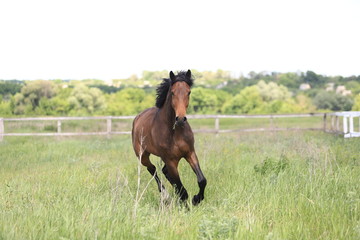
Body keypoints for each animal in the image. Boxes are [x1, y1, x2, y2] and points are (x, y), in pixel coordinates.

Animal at [132, 70, 207, 205]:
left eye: (189, 92)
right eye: (172, 92)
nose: (180, 119)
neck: (174, 132)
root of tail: (137, 118)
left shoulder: (190, 153)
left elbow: (202, 180)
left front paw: (196, 199)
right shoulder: (171, 160)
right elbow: (182, 190)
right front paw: (187, 203)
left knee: (164, 171)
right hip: (143, 156)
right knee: (153, 169)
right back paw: (166, 196)